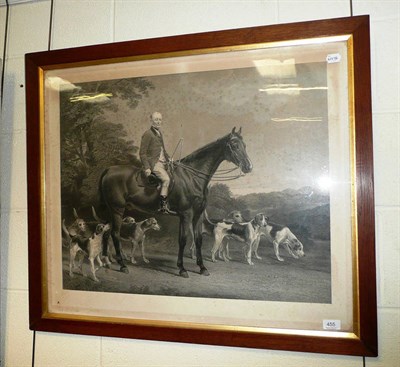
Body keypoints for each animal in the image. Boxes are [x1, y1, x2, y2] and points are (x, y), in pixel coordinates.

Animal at [98, 128, 252, 278]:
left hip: (110, 211)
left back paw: (106, 261)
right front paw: (182, 269)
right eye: (234, 145)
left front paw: (202, 268)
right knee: (115, 234)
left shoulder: (197, 215)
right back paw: (122, 265)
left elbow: (197, 240)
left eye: (244, 145)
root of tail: (109, 170)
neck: (192, 177)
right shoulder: (186, 214)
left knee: (106, 233)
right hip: (117, 210)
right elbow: (183, 240)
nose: (248, 167)